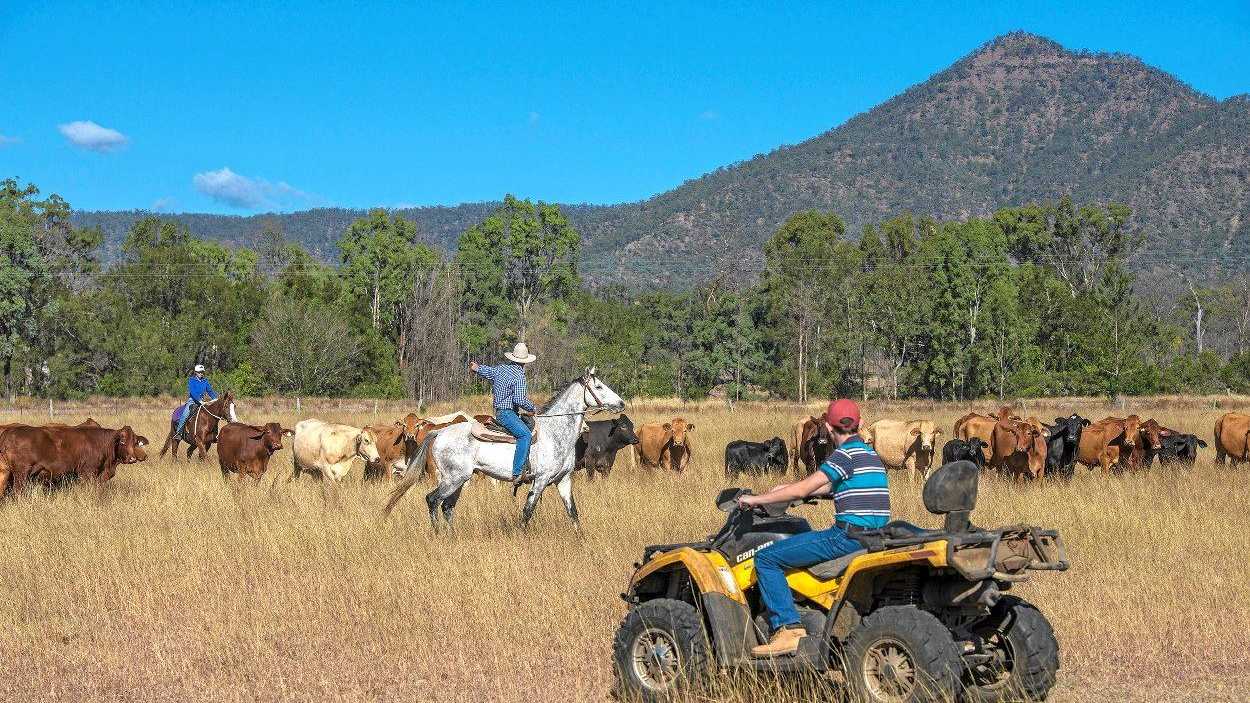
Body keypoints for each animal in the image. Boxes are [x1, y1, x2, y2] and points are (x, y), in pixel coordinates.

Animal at [0, 420, 147, 492]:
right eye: (122, 441)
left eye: (135, 442)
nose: (133, 458)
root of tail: (9, 432)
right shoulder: (87, 473)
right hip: (21, 474)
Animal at [382, 367, 625, 525]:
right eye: (599, 386)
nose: (621, 403)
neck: (555, 433)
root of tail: (440, 432)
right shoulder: (540, 480)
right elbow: (527, 513)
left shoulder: (563, 480)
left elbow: (573, 513)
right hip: (453, 479)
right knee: (433, 500)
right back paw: (438, 535)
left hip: (459, 480)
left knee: (447, 507)